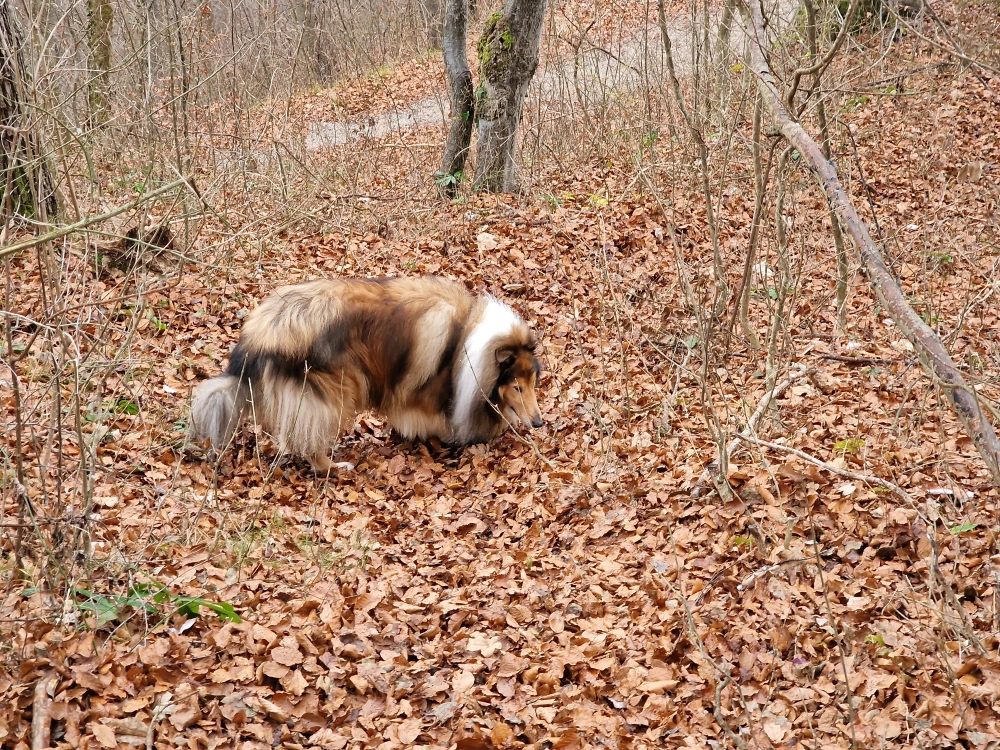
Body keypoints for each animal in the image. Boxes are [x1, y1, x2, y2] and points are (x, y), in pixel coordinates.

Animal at [190, 280, 544, 472]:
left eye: (533, 382)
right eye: (516, 386)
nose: (539, 422)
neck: (467, 342)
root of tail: (257, 334)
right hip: (333, 391)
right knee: (308, 442)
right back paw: (333, 467)